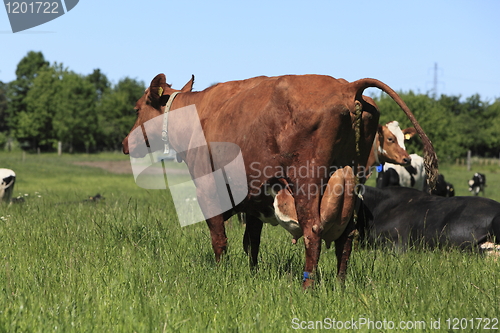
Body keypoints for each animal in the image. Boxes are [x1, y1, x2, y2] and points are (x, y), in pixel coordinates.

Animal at [122, 73, 438, 288]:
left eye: (137, 109)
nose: (125, 143)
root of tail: (346, 86)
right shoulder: (252, 200)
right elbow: (252, 241)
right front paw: (251, 273)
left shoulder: (209, 191)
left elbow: (219, 239)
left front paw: (221, 273)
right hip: (353, 184)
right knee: (346, 238)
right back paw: (339, 285)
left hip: (306, 186)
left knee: (313, 232)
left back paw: (308, 286)